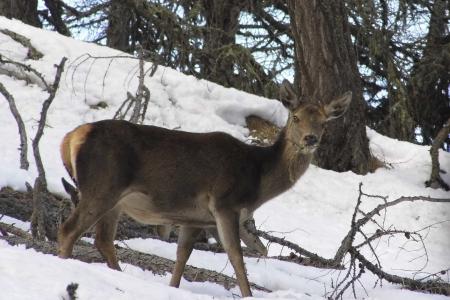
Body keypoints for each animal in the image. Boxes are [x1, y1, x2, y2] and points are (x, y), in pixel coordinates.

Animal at [57, 80, 352, 298]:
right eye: (296, 117)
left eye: (324, 122)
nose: (311, 139)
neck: (257, 180)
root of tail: (71, 137)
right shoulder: (225, 204)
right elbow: (236, 257)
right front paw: (247, 294)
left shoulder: (194, 218)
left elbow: (182, 257)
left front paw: (173, 288)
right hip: (102, 185)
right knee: (69, 229)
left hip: (114, 199)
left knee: (103, 239)